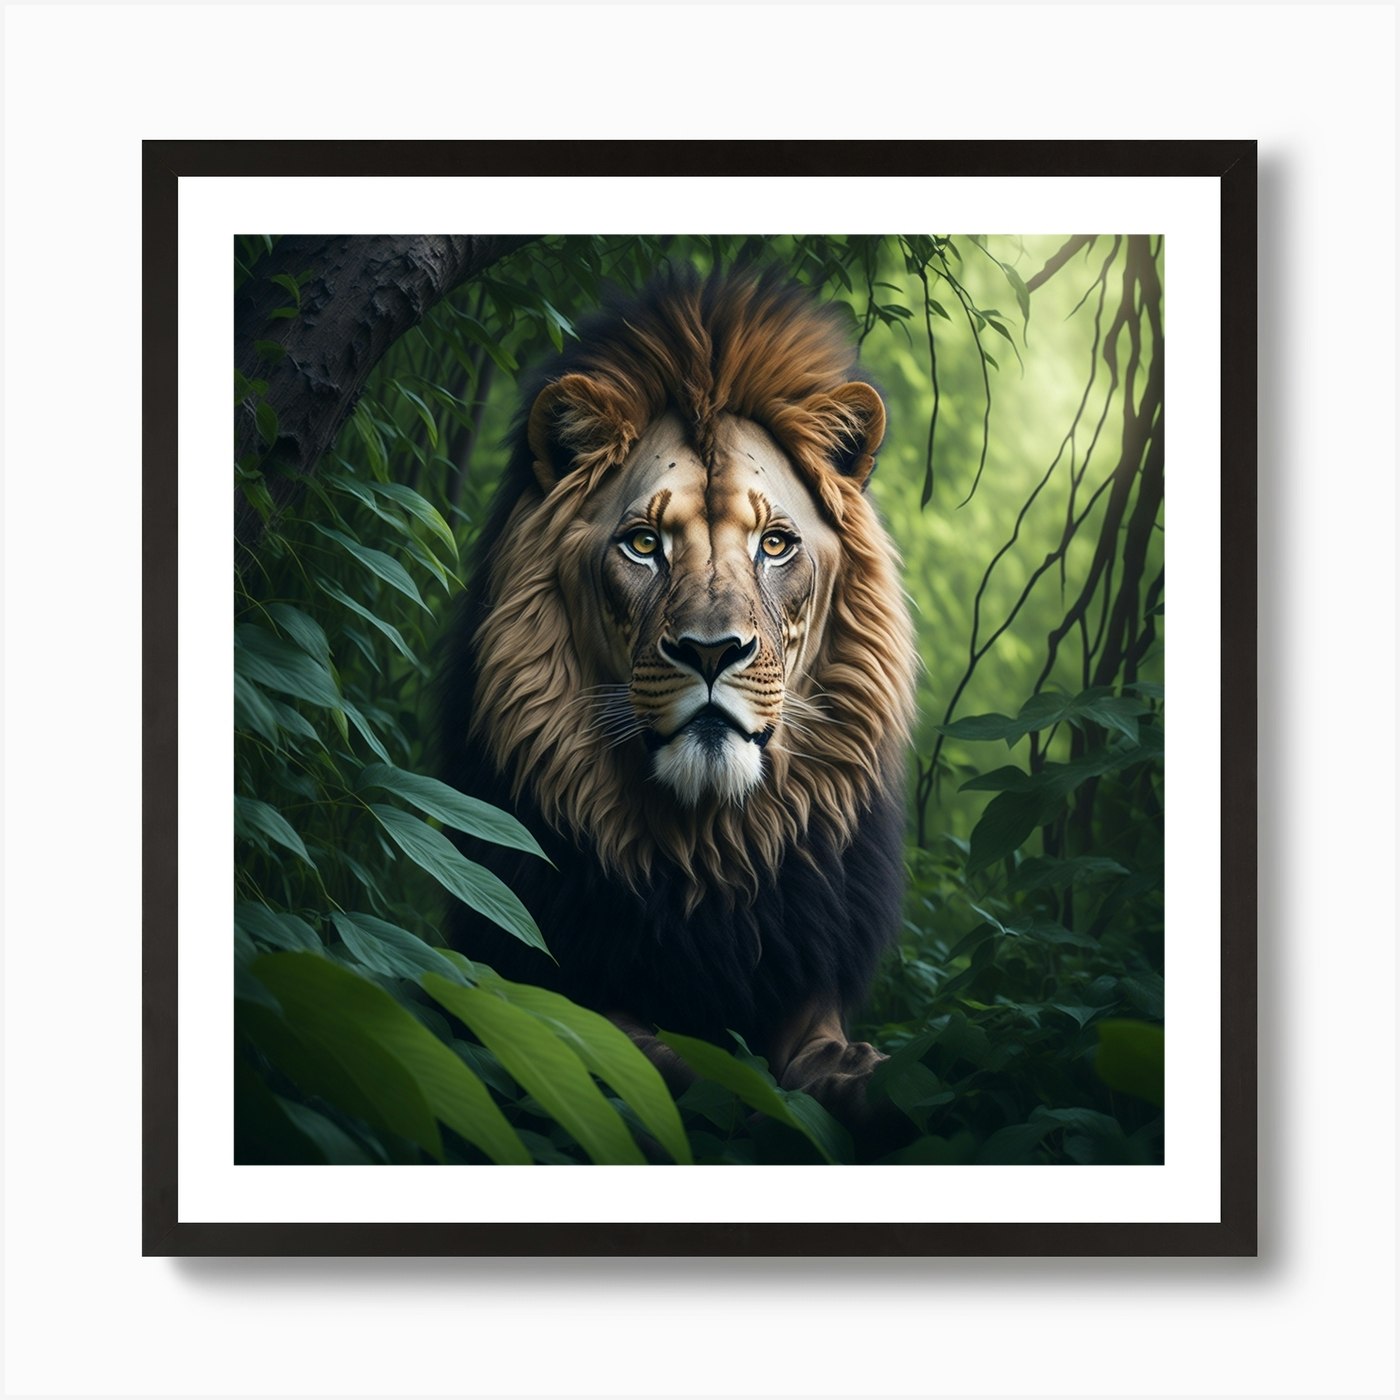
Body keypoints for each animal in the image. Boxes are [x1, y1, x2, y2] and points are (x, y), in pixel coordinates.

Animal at [439, 268, 916, 1127]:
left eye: (774, 545)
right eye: (643, 544)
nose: (710, 651)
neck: (708, 851)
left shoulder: (809, 981)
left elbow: (840, 1064)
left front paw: (873, 1082)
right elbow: (633, 1051)